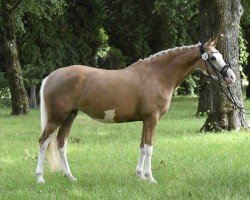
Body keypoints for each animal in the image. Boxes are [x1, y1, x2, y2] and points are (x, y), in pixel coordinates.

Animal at [35, 38, 236, 184]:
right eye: (213, 58)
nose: (232, 77)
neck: (157, 75)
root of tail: (50, 76)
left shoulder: (145, 121)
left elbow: (141, 147)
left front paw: (140, 175)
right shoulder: (152, 119)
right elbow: (149, 148)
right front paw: (150, 178)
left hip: (70, 116)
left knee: (61, 143)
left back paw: (70, 176)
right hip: (56, 118)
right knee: (44, 142)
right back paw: (40, 178)